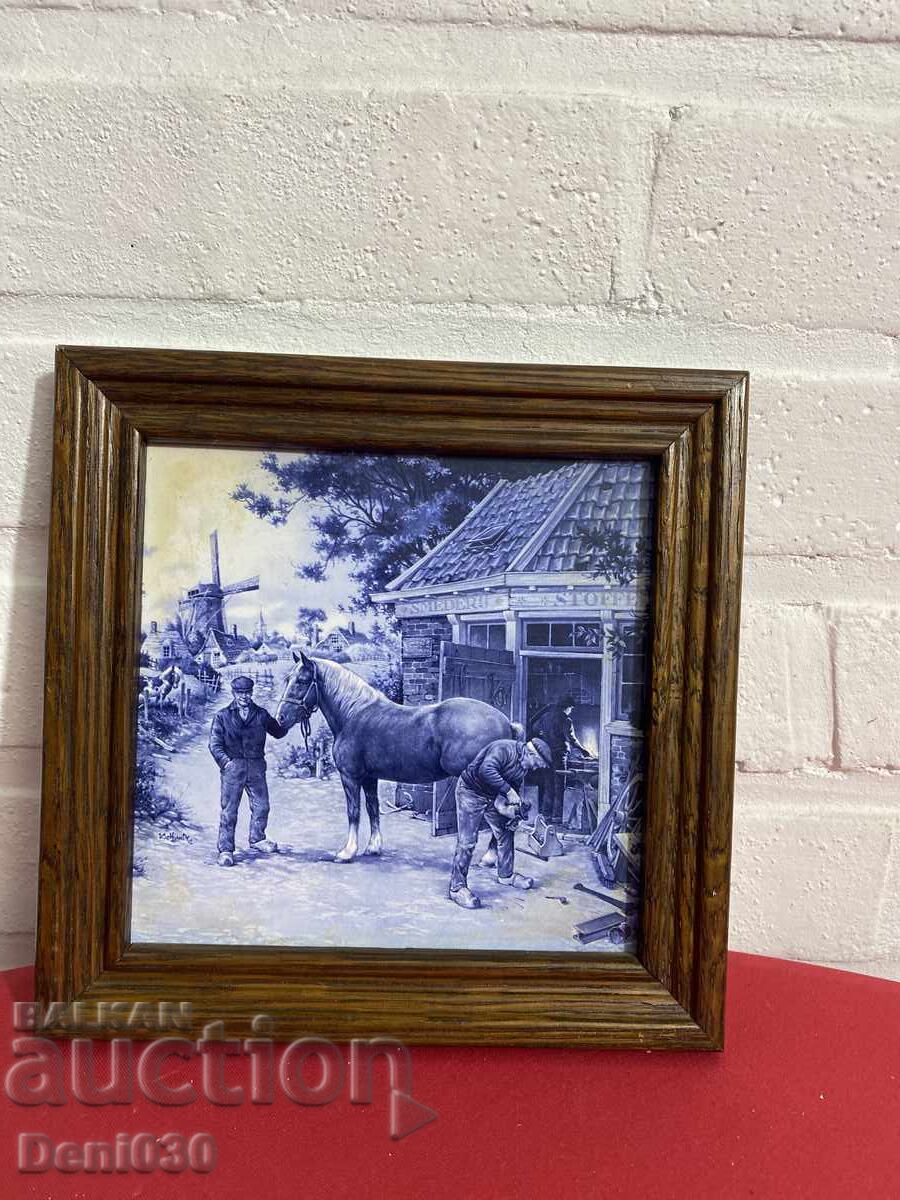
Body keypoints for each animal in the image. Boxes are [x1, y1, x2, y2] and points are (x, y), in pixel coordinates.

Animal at [278, 648, 525, 864]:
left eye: (301, 681)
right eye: (288, 679)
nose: (280, 718)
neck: (353, 713)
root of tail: (506, 723)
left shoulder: (350, 776)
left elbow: (354, 812)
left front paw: (347, 852)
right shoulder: (369, 777)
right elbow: (372, 808)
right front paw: (373, 847)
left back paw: (490, 857)